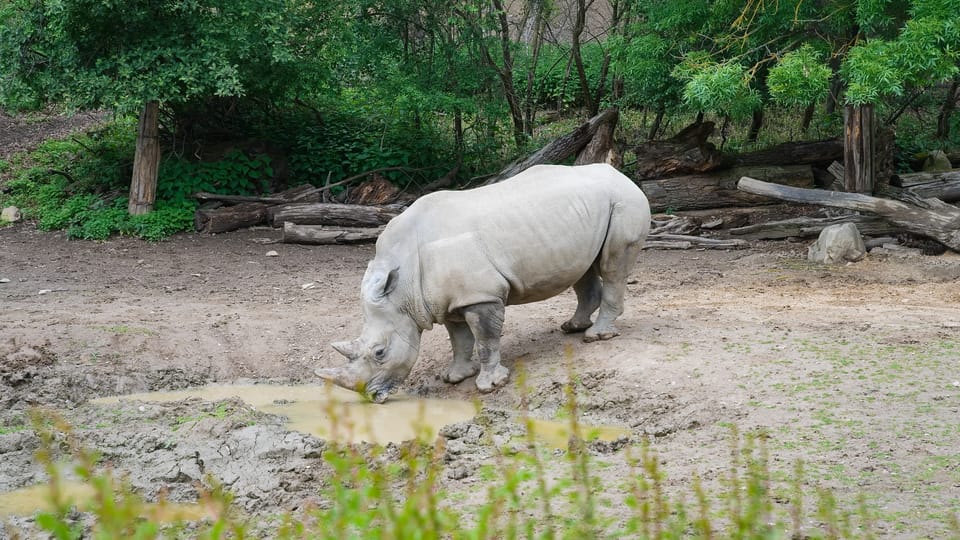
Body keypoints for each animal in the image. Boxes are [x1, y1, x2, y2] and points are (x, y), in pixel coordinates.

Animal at [317, 163, 651, 403]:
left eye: (380, 353)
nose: (373, 397)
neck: (404, 287)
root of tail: (623, 175)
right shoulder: (446, 300)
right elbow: (460, 339)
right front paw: (455, 377)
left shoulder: (481, 295)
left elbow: (486, 339)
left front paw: (490, 385)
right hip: (592, 210)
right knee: (584, 269)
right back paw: (573, 327)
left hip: (624, 202)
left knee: (612, 266)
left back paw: (597, 336)